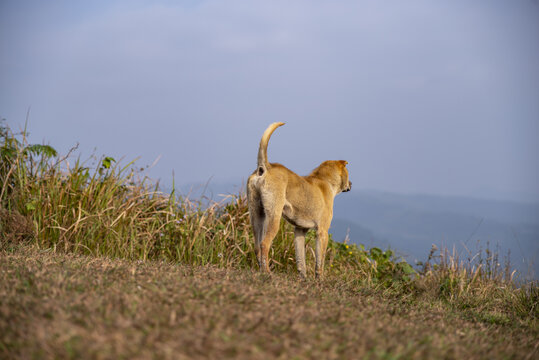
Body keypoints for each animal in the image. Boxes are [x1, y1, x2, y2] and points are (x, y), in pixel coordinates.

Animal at [247, 122, 352, 278]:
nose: (351, 184)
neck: (324, 180)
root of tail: (265, 167)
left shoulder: (299, 231)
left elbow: (300, 259)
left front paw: (303, 277)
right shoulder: (322, 231)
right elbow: (320, 261)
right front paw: (319, 278)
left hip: (256, 215)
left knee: (256, 246)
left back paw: (261, 269)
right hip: (273, 217)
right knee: (264, 244)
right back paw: (267, 272)